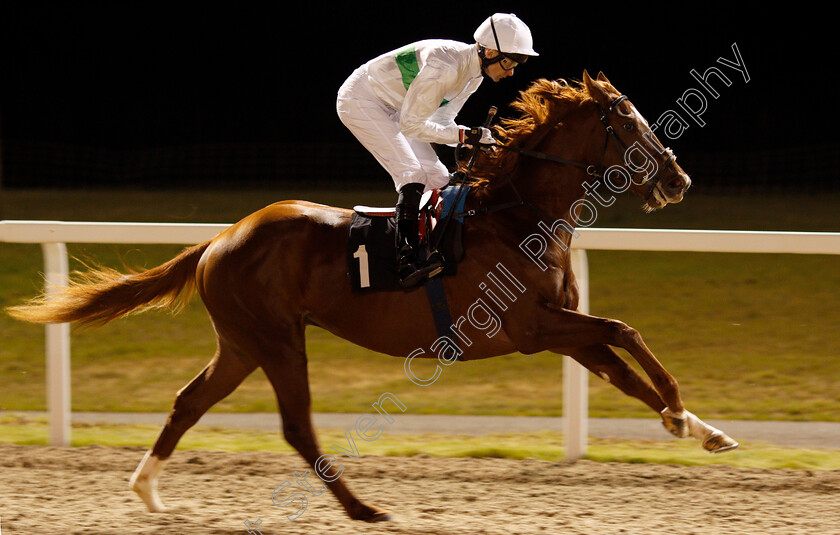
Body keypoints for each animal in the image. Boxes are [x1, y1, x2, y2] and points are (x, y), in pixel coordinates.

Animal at [9, 71, 740, 524]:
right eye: (628, 121)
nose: (678, 178)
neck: (518, 215)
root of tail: (220, 238)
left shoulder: (562, 330)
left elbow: (621, 363)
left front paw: (698, 427)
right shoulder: (534, 327)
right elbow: (622, 329)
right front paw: (681, 410)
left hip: (241, 343)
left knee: (189, 401)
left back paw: (148, 491)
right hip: (277, 339)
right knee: (296, 425)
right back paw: (364, 509)